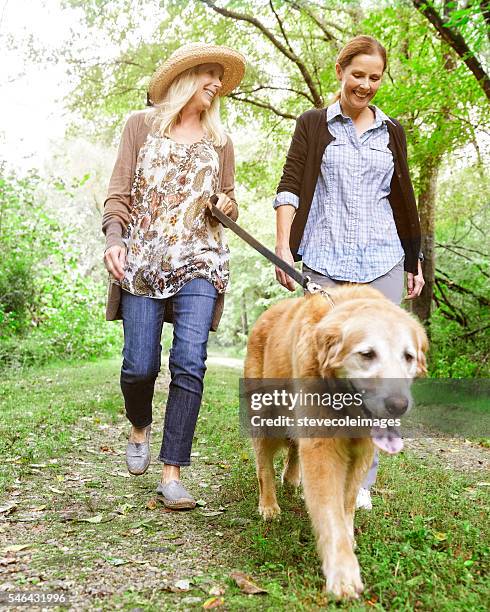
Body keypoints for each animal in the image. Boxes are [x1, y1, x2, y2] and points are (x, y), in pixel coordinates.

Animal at [243, 286, 426, 596]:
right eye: (367, 354)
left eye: (408, 357)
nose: (398, 405)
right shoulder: (322, 450)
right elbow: (329, 512)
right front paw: (342, 571)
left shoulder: (361, 451)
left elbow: (347, 501)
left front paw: (349, 537)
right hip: (266, 419)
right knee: (263, 467)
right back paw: (269, 505)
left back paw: (292, 479)